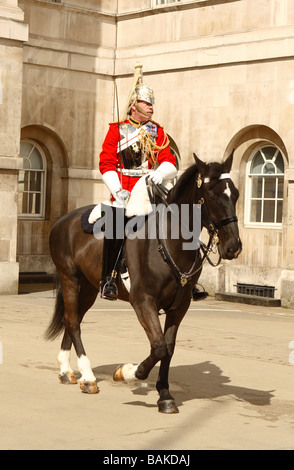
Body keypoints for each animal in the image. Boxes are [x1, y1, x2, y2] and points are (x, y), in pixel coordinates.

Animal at [45, 152, 241, 414]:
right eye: (211, 195)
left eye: (236, 194)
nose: (233, 247)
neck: (170, 243)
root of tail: (63, 220)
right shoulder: (143, 301)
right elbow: (158, 346)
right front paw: (127, 372)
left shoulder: (179, 306)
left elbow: (168, 347)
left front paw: (165, 394)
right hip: (70, 278)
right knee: (74, 322)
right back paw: (88, 376)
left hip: (88, 287)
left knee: (71, 318)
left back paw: (66, 370)